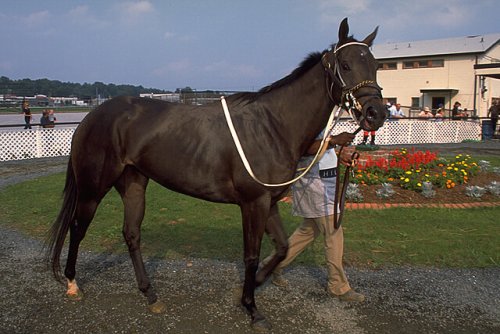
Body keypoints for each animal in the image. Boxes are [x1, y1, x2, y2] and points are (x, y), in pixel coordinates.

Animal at [47, 18, 386, 332]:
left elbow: (281, 248)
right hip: (93, 186)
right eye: (346, 65)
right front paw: (253, 309)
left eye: (375, 66)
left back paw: (150, 294)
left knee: (131, 234)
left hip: (133, 183)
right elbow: (251, 255)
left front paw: (252, 287)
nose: (376, 113)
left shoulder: (269, 202)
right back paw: (72, 283)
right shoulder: (253, 203)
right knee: (77, 228)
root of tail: (92, 116)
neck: (272, 126)